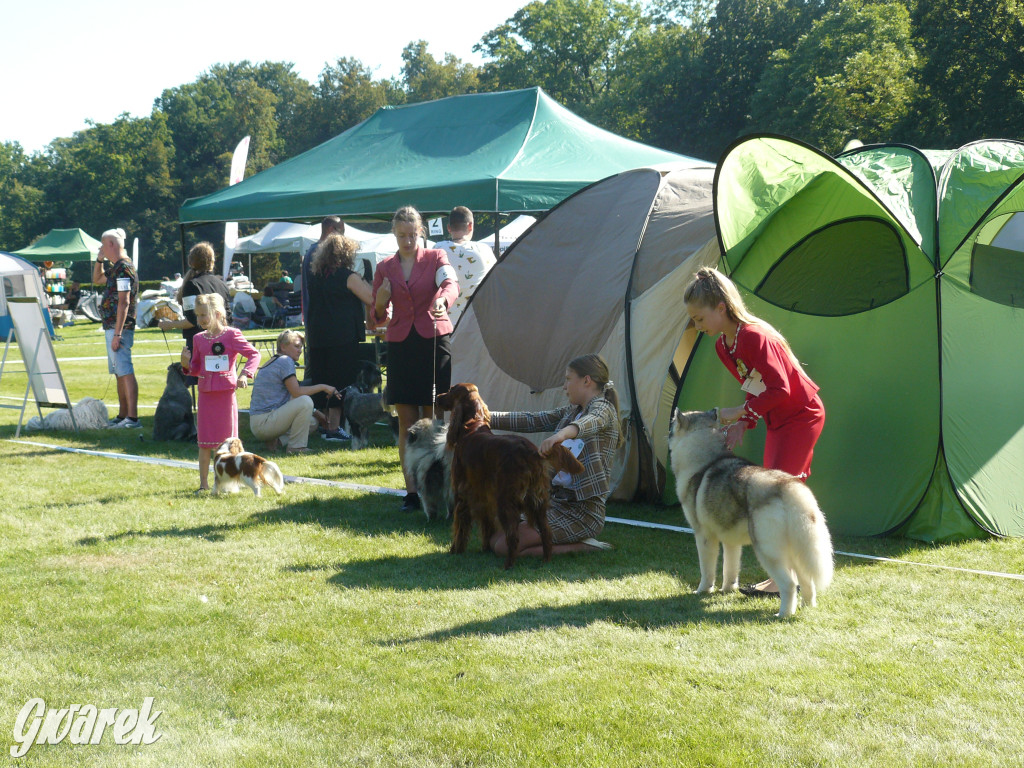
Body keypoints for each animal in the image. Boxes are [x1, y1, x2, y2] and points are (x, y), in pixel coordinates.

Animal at [436, 385, 585, 573]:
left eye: (450, 390)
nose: (437, 397)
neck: (473, 427)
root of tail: (532, 451)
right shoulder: (485, 497)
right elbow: (486, 525)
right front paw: (485, 548)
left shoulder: (461, 494)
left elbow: (460, 528)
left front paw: (455, 550)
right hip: (537, 501)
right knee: (546, 532)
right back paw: (545, 561)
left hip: (506, 501)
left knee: (513, 537)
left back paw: (508, 565)